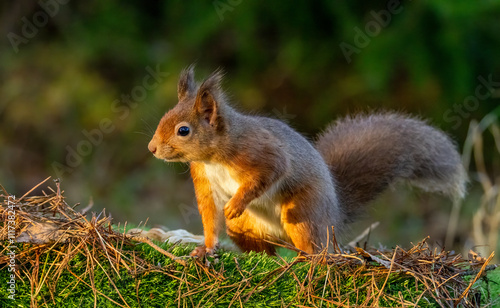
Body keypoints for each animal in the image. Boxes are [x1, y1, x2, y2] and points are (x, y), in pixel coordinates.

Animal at [146, 67, 466, 258]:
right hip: (246, 229)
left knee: (316, 249)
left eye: (183, 130)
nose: (152, 148)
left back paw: (309, 260)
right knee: (267, 252)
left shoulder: (258, 152)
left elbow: (271, 171)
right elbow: (210, 215)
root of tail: (334, 215)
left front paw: (236, 204)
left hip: (303, 213)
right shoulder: (204, 179)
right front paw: (206, 249)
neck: (213, 158)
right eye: (163, 117)